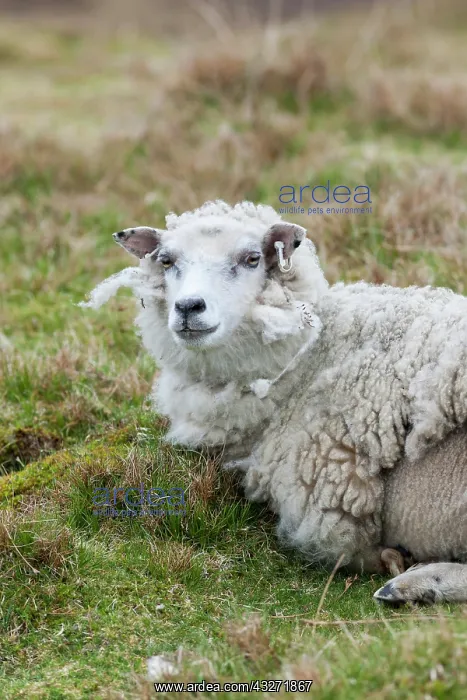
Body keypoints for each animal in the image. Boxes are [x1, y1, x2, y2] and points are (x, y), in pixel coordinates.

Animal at [81, 200, 467, 605]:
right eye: (167, 260)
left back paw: (415, 583)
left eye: (252, 258)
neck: (311, 357)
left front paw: (392, 560)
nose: (189, 306)